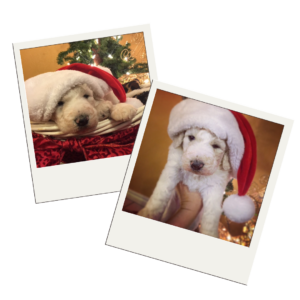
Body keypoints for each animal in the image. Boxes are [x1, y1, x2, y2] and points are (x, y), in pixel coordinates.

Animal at [137, 98, 256, 239]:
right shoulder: (172, 169)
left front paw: (210, 234)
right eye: (191, 137)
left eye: (216, 146)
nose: (196, 164)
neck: (196, 176)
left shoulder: (214, 188)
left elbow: (211, 217)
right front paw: (148, 214)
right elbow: (160, 195)